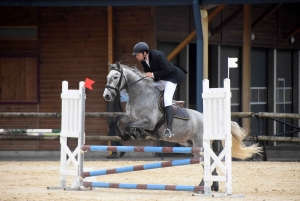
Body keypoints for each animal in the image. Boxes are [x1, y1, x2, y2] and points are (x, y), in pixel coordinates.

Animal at [102, 62, 260, 192]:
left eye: (115, 77)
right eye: (107, 77)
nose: (107, 96)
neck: (140, 94)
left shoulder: (149, 122)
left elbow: (130, 125)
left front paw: (135, 133)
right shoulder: (131, 116)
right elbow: (118, 120)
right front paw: (125, 135)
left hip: (199, 145)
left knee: (206, 162)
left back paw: (202, 187)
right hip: (193, 145)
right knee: (208, 162)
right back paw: (212, 186)